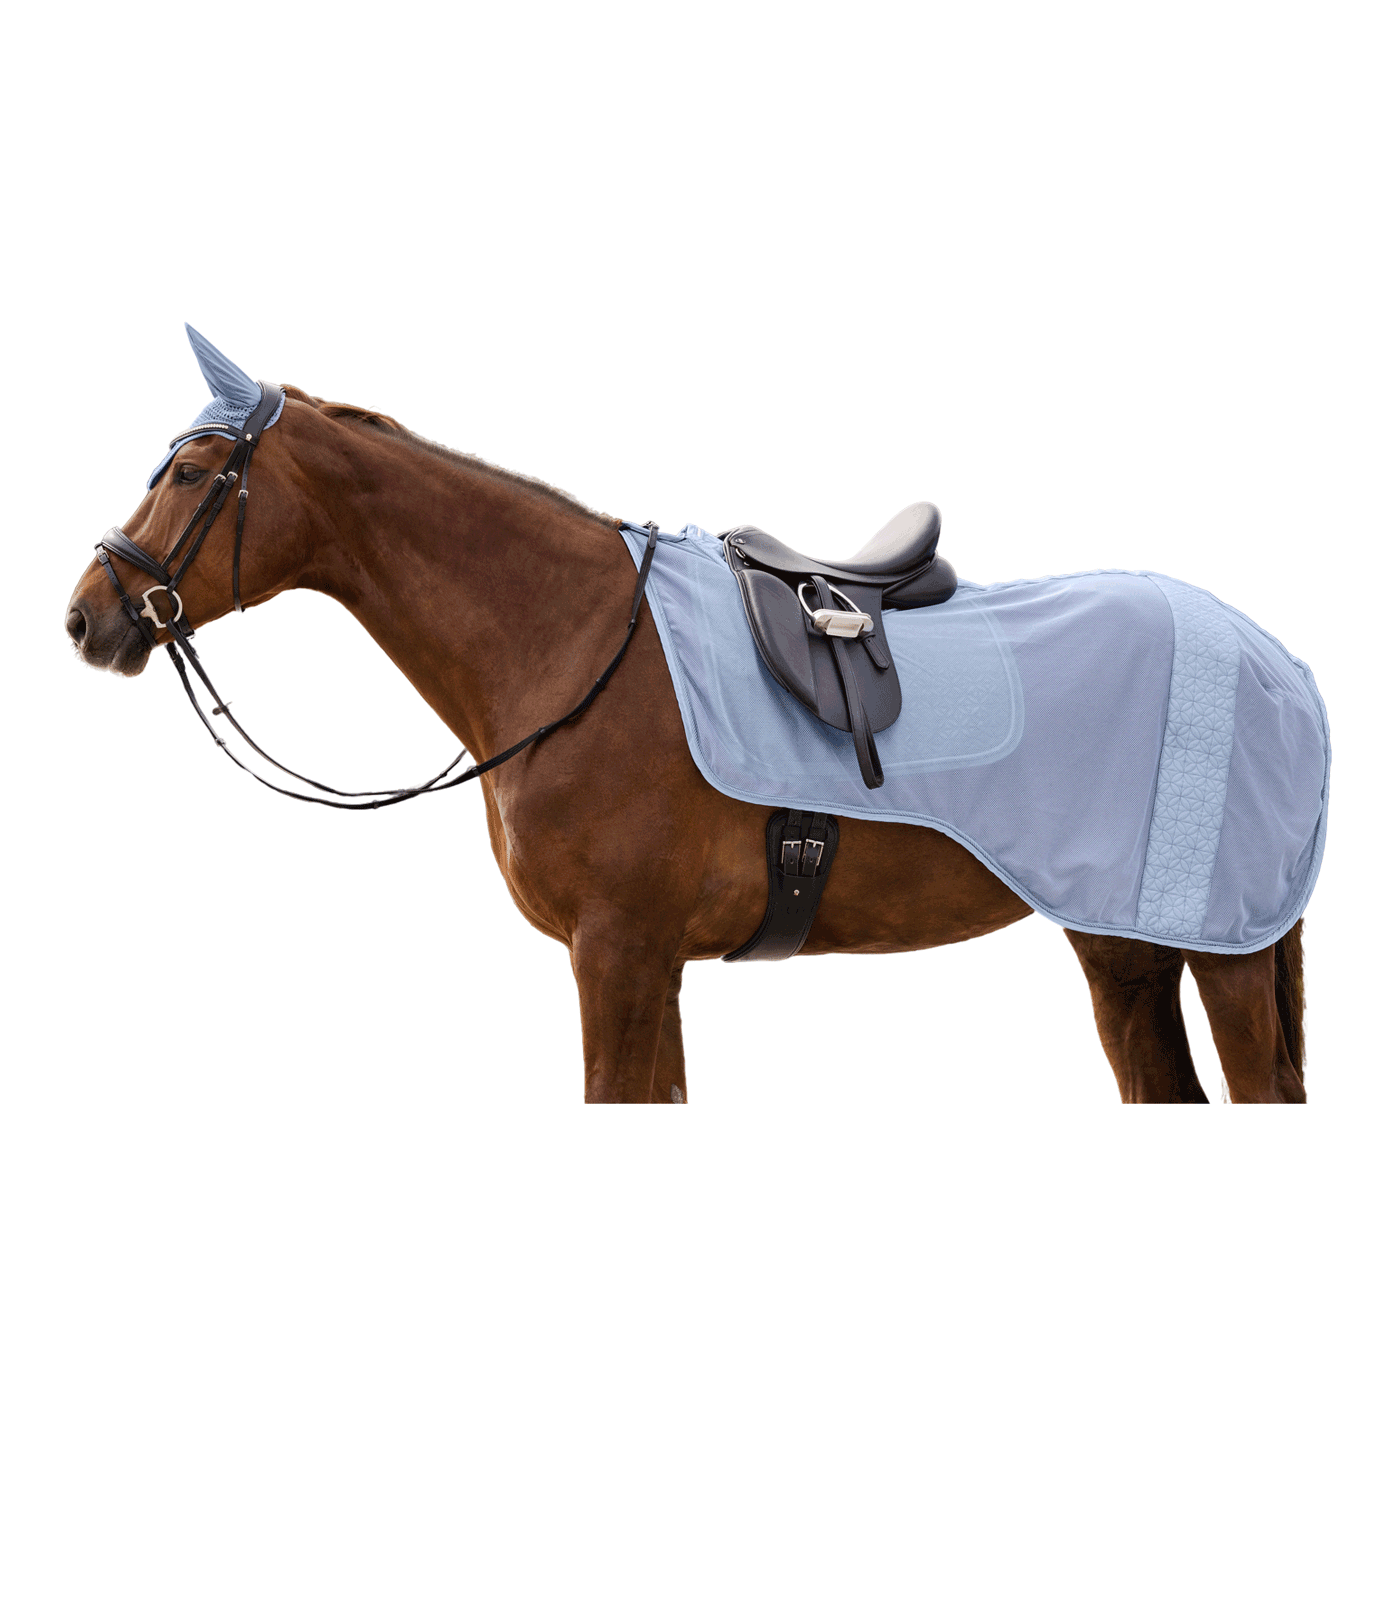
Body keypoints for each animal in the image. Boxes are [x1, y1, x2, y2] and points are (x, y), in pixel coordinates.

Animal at [66, 380, 1308, 1104]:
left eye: (189, 472)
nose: (88, 615)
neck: (576, 640)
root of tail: (1270, 659)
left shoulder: (617, 953)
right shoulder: (642, 963)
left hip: (1226, 954)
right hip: (1121, 950)